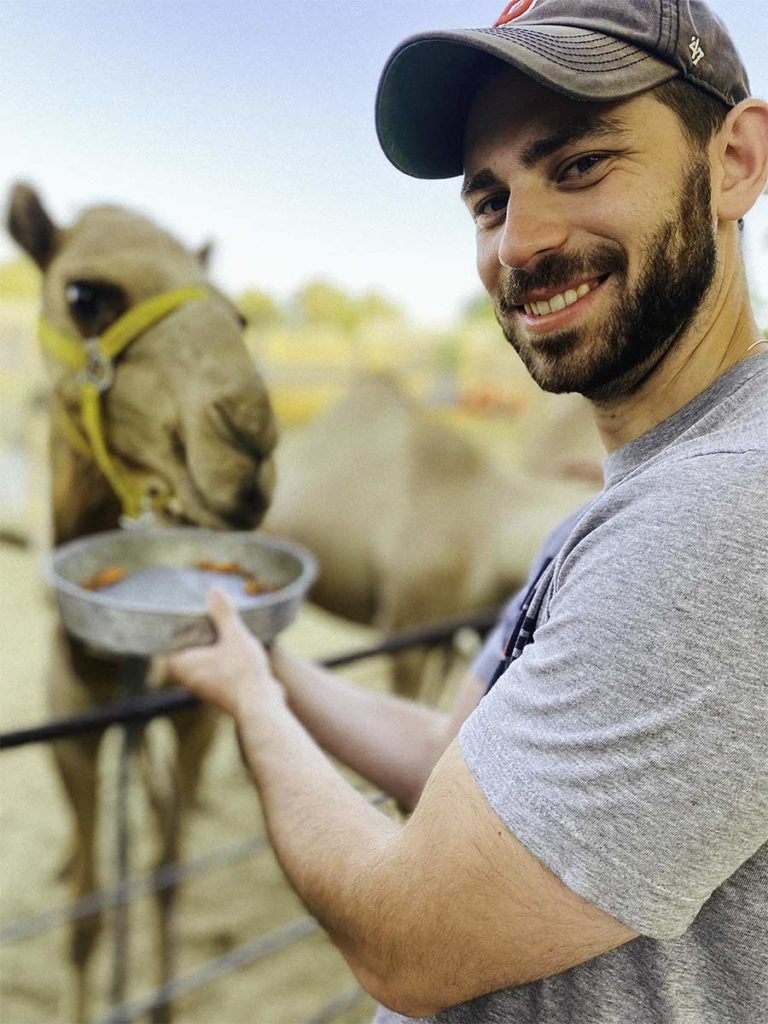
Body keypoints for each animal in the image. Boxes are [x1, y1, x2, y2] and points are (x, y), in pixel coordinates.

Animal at [6, 186, 278, 1024]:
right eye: (85, 295)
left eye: (239, 314)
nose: (249, 441)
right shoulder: (70, 719)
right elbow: (87, 917)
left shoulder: (192, 716)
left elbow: (165, 874)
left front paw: (160, 1002)